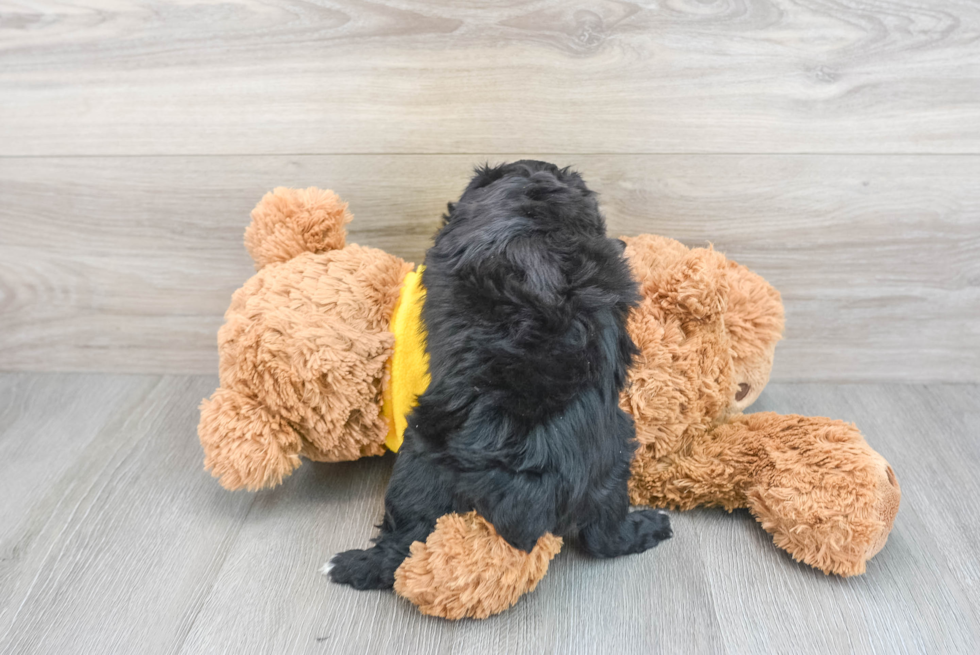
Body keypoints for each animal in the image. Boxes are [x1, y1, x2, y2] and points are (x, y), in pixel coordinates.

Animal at [326, 161, 668, 592]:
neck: (532, 198)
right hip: (614, 457)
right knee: (605, 535)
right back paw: (651, 526)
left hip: (419, 464)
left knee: (403, 544)